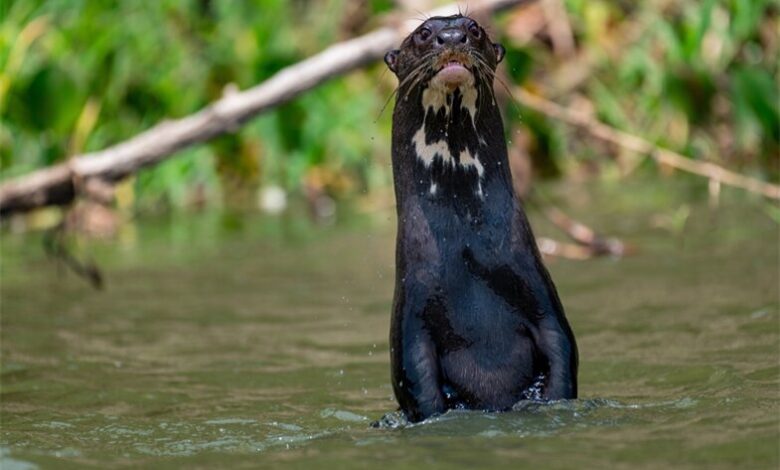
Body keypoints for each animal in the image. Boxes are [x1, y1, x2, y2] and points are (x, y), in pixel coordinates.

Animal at [383, 15, 578, 423]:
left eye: (473, 28)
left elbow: (563, 348)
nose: (452, 36)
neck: (464, 241)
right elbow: (415, 379)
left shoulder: (535, 286)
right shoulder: (412, 309)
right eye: (423, 33)